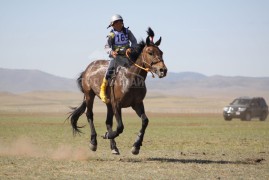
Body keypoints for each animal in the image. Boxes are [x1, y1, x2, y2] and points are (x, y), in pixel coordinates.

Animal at [68, 27, 166, 155]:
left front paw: (136, 146)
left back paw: (114, 147)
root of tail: (88, 68)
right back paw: (93, 142)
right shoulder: (117, 104)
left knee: (108, 122)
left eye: (161, 52)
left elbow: (145, 121)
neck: (130, 77)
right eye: (150, 52)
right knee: (90, 115)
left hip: (108, 103)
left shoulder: (137, 104)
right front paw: (107, 135)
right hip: (90, 95)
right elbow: (120, 126)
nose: (163, 70)